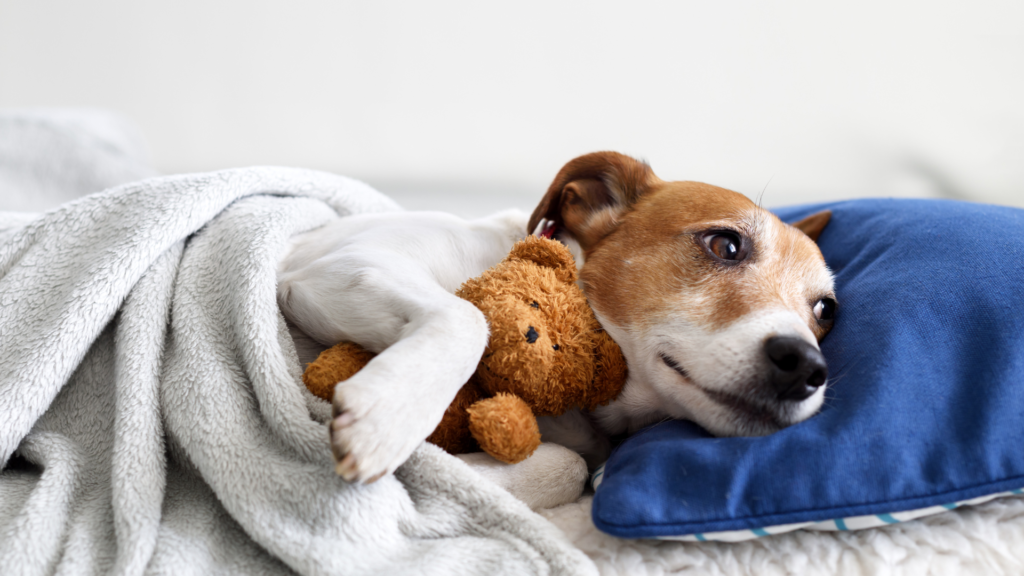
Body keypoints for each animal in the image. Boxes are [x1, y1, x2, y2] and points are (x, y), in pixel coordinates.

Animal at [278, 150, 831, 504]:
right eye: (726, 245)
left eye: (825, 310)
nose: (805, 366)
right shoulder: (340, 267)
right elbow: (467, 317)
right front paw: (387, 420)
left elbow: (570, 466)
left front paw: (462, 473)